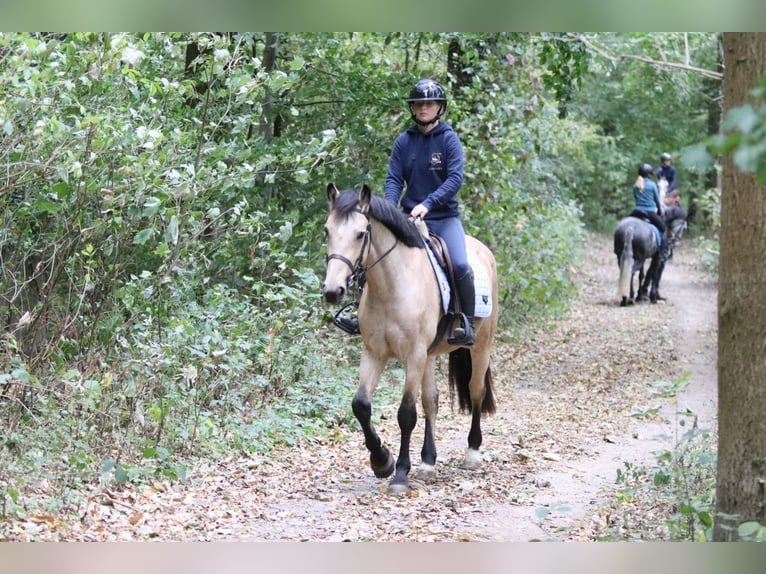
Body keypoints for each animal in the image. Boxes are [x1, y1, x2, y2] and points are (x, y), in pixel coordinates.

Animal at [321, 183, 498, 494]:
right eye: (327, 230)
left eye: (361, 233)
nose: (333, 290)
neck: (392, 286)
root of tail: (484, 250)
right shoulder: (374, 352)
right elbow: (361, 405)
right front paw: (382, 460)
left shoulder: (413, 354)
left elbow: (406, 414)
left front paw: (400, 474)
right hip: (429, 355)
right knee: (432, 400)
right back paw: (427, 463)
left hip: (480, 346)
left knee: (475, 391)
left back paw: (473, 453)